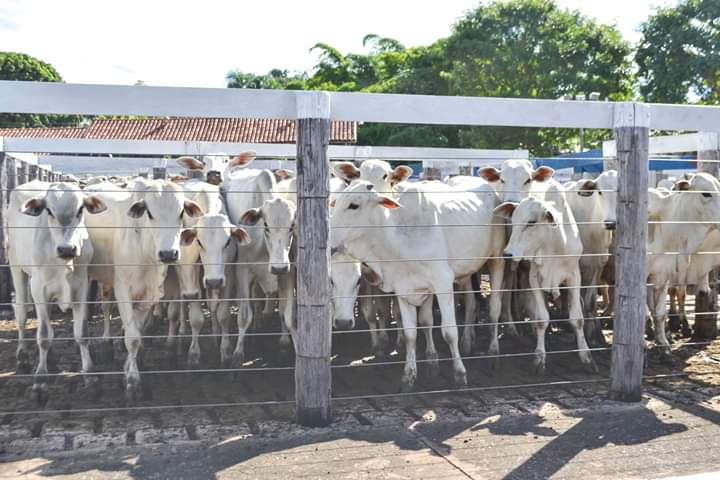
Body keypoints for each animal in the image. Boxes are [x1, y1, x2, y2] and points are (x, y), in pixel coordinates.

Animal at [6, 179, 107, 398]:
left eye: (80, 210)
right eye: (49, 211)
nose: (67, 249)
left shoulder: (81, 287)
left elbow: (81, 332)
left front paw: (90, 374)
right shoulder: (39, 289)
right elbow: (43, 335)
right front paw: (40, 380)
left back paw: (50, 358)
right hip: (17, 267)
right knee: (21, 313)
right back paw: (22, 356)